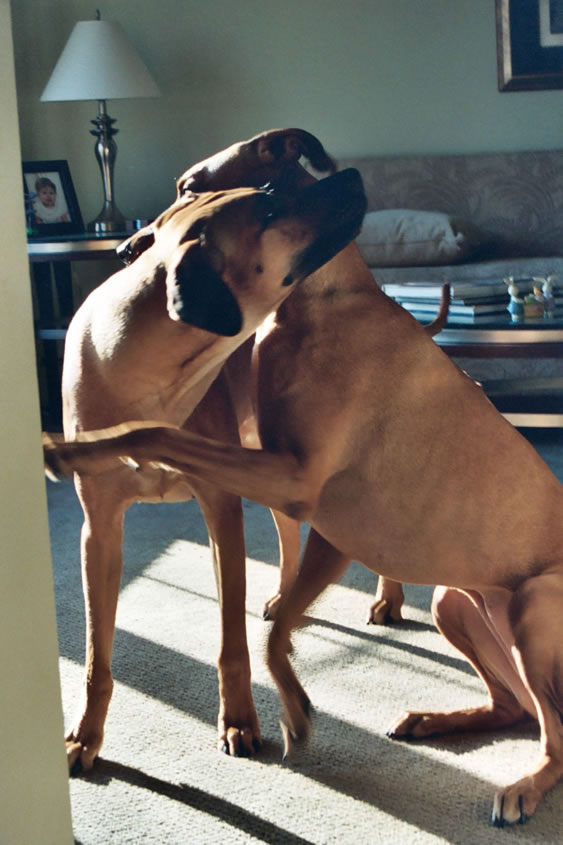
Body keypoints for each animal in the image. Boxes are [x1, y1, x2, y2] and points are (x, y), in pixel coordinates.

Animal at [44, 212, 563, 825]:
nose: (127, 248)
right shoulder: (110, 528)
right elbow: (100, 653)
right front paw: (84, 737)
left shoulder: (279, 492)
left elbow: (157, 435)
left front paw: (266, 713)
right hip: (453, 601)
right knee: (513, 707)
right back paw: (432, 717)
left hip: (531, 607)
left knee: (555, 737)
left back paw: (520, 782)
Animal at [52, 135, 366, 772]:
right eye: (266, 207)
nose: (352, 176)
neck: (146, 375)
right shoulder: (99, 529)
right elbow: (96, 653)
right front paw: (85, 735)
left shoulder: (221, 506)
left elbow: (231, 639)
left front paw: (240, 718)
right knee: (288, 535)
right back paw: (286, 597)